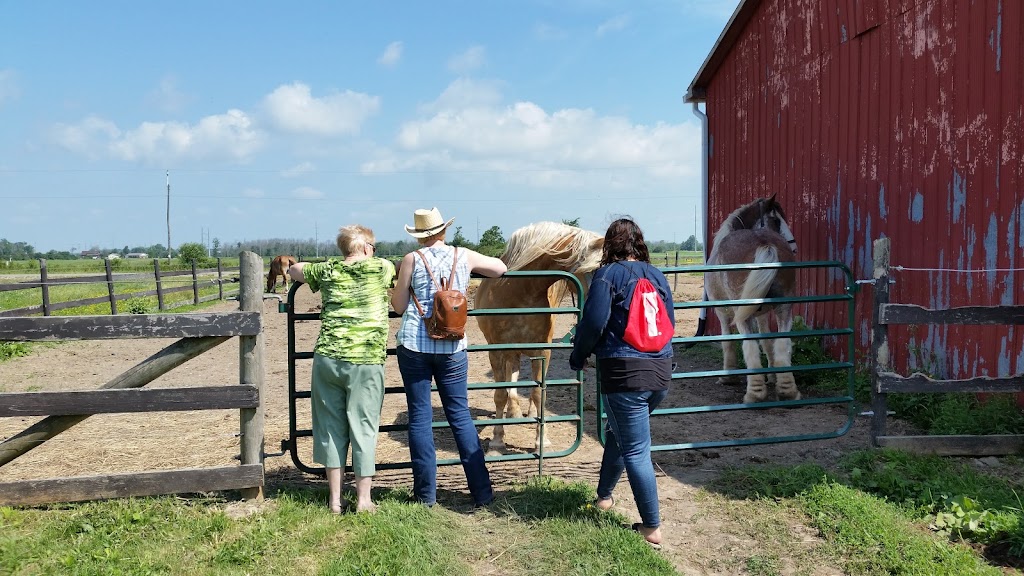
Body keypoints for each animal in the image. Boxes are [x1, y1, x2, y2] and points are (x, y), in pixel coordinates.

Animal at [475, 222, 602, 450]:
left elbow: (538, 394)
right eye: (594, 270)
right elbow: (500, 394)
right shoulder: (496, 351)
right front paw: (497, 441)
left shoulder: (543, 351)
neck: (519, 292)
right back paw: (513, 411)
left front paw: (541, 440)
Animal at [708, 194, 802, 401]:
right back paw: (788, 390)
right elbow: (767, 342)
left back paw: (755, 393)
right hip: (784, 308)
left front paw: (728, 376)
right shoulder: (763, 313)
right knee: (782, 344)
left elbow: (728, 341)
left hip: (742, 314)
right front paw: (772, 377)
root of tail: (763, 241)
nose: (794, 247)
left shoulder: (722, 312)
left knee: (750, 346)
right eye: (776, 220)